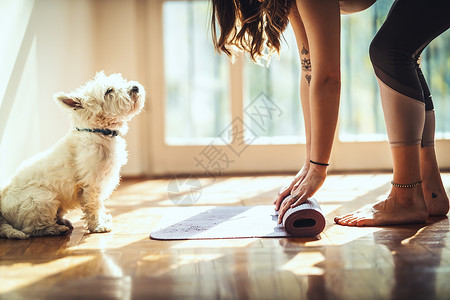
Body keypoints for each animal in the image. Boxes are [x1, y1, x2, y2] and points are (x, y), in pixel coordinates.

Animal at [0, 71, 144, 239]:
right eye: (108, 91)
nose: (135, 87)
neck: (98, 132)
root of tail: (2, 212)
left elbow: (100, 204)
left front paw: (104, 219)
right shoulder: (92, 183)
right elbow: (94, 205)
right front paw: (98, 226)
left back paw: (62, 221)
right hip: (42, 198)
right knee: (32, 228)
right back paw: (55, 229)